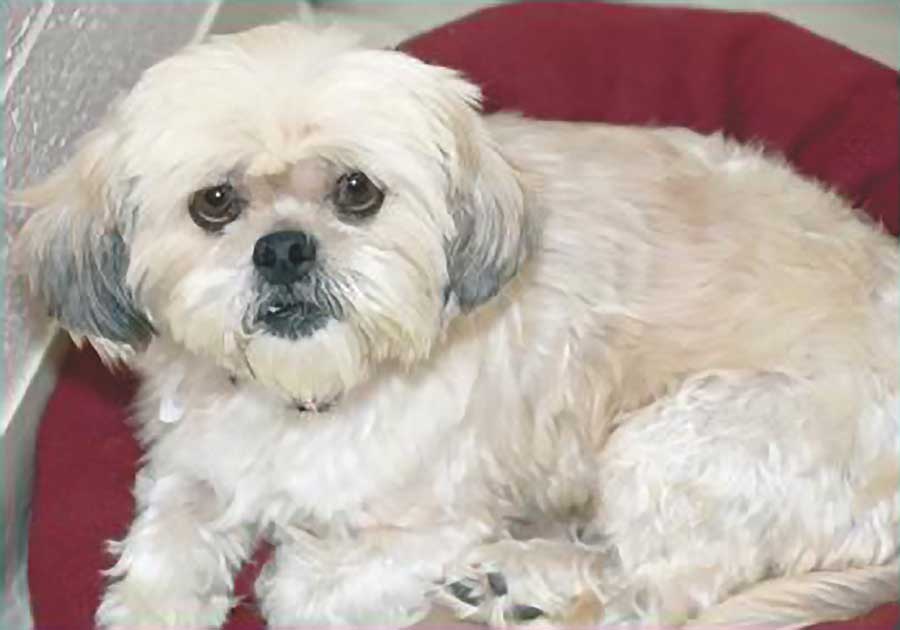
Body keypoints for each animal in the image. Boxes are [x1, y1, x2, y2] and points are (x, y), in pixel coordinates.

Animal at [14, 23, 900, 630]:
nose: (284, 248)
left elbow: (296, 585)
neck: (310, 394)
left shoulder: (440, 523)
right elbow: (163, 549)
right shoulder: (192, 467)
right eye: (215, 204)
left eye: (357, 192)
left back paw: (516, 581)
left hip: (683, 444)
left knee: (648, 599)